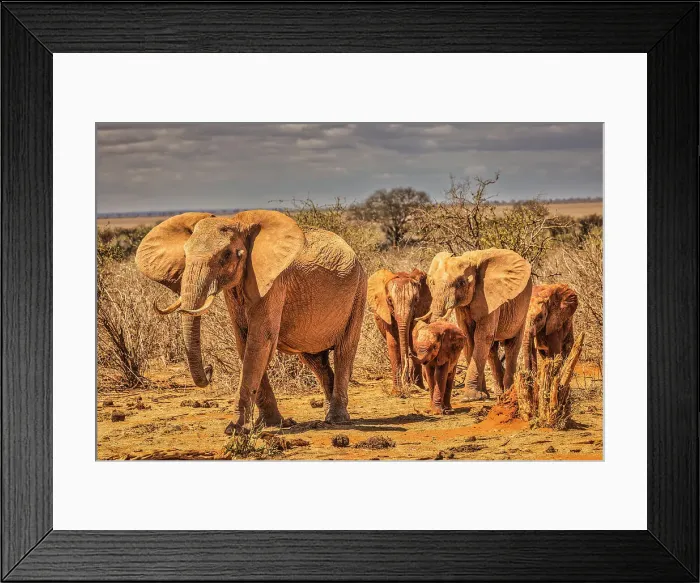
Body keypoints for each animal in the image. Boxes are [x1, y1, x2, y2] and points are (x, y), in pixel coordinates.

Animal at [135, 210, 367, 432]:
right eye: (184, 254)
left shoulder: (273, 284)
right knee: (315, 359)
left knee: (344, 351)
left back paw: (337, 419)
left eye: (226, 255)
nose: (210, 369)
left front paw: (236, 429)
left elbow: (260, 341)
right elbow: (244, 341)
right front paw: (270, 424)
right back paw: (328, 415)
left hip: (359, 289)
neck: (240, 224)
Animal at [426, 248, 532, 398]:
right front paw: (481, 395)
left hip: (523, 306)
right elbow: (469, 338)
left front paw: (470, 397)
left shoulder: (489, 296)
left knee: (512, 344)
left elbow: (482, 337)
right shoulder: (463, 306)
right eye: (432, 283)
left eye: (461, 283)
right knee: (492, 349)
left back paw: (507, 392)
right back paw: (499, 392)